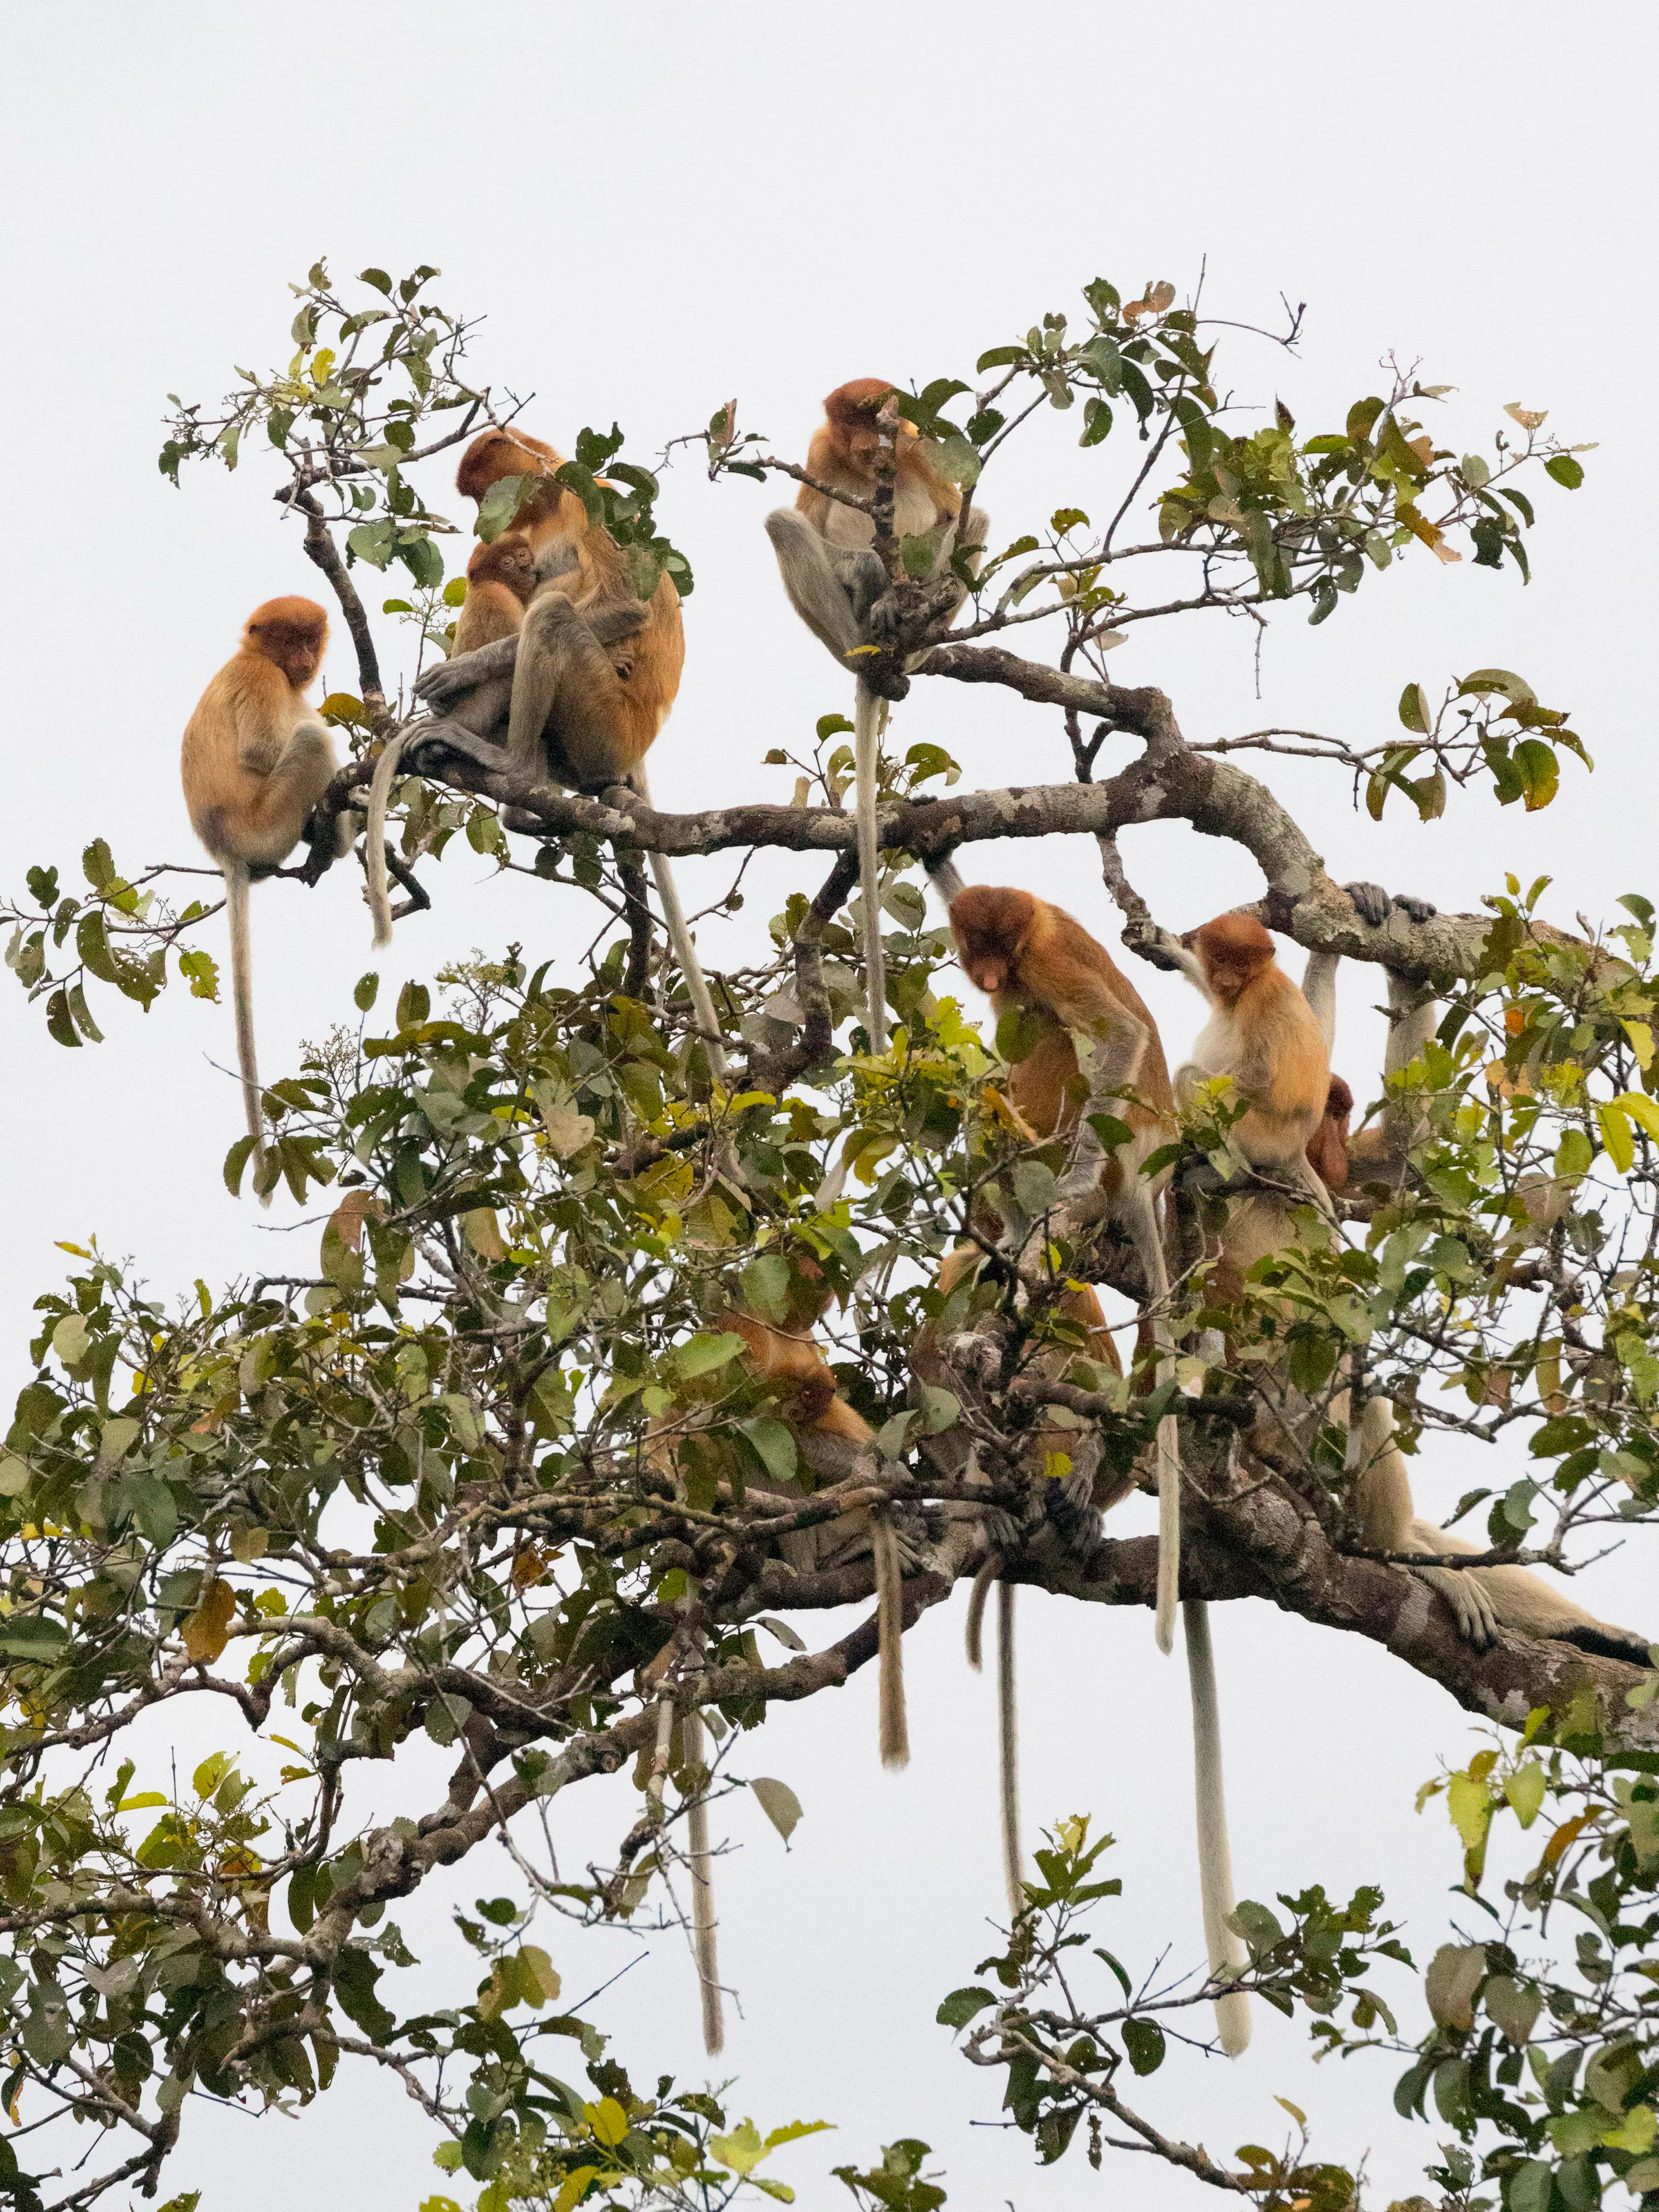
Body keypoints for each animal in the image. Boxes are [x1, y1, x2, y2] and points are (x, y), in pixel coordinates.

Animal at [180, 597, 339, 1198]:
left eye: (309, 639)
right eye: (288, 641)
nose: (304, 661)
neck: (253, 654)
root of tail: (226, 847)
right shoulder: (259, 676)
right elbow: (260, 751)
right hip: (266, 823)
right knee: (312, 740)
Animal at [767, 382, 988, 1054]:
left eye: (878, 420)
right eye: (852, 423)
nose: (870, 446)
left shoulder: (925, 446)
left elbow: (959, 515)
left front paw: (904, 590)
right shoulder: (820, 452)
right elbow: (808, 520)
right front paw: (872, 576)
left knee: (973, 524)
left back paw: (906, 639)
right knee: (784, 524)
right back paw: (869, 640)